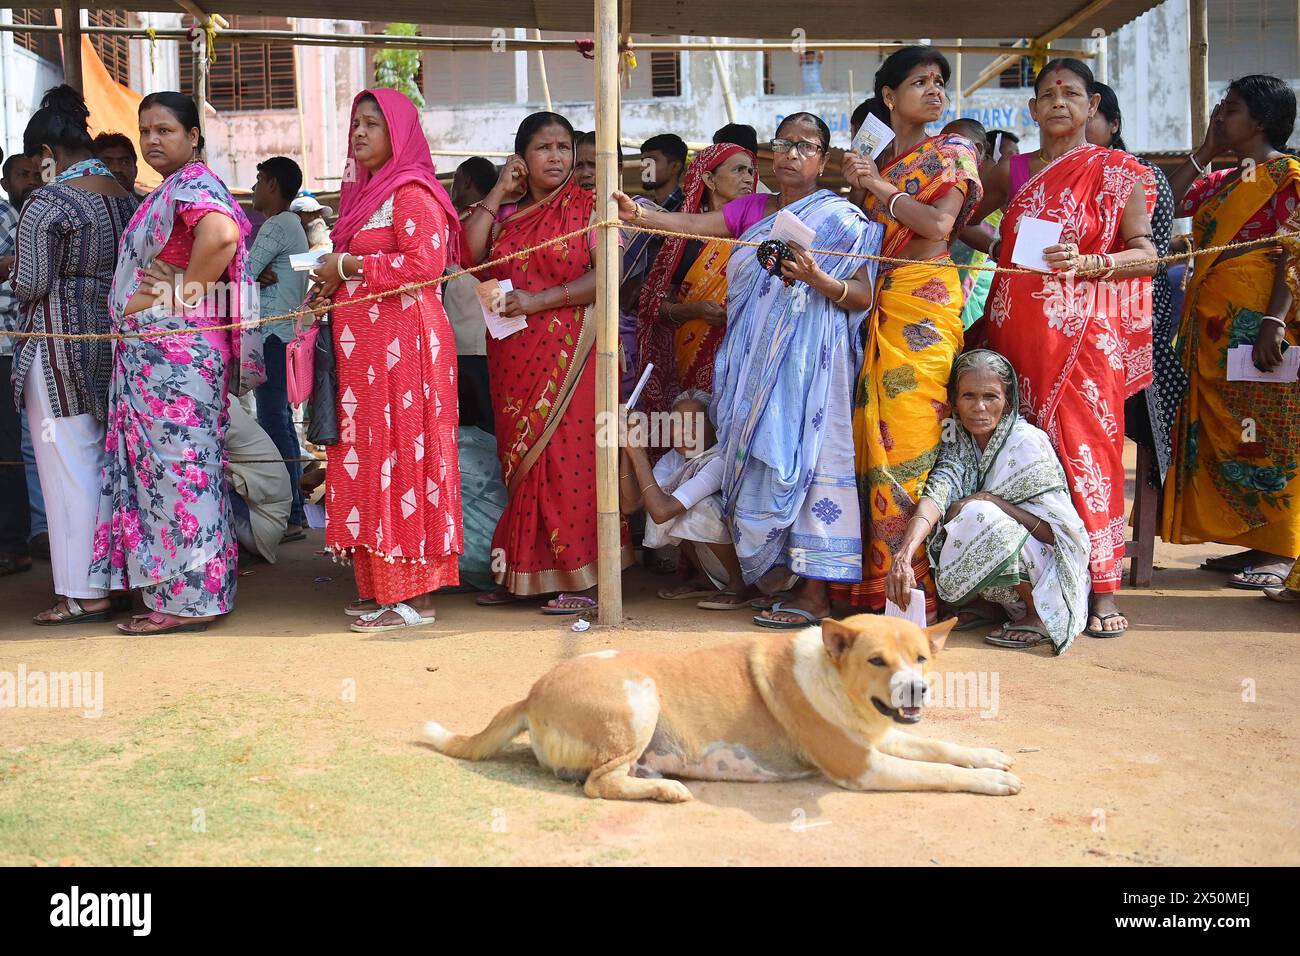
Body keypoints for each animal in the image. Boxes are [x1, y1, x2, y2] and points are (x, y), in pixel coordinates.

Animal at [421, 613, 1019, 801]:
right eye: (877, 661)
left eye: (921, 658)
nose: (916, 690)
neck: (832, 676)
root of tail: (533, 690)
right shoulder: (862, 765)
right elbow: (939, 771)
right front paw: (991, 781)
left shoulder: (880, 734)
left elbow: (939, 744)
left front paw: (990, 755)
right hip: (641, 695)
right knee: (598, 784)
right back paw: (666, 790)